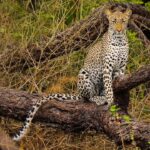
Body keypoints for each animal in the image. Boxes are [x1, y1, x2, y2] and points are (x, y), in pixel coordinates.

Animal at [13, 5, 132, 141]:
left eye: (123, 21)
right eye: (114, 21)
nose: (119, 30)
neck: (119, 40)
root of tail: (78, 93)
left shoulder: (121, 68)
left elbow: (116, 81)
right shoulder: (107, 67)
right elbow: (108, 87)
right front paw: (110, 101)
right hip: (84, 74)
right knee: (88, 97)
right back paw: (99, 99)